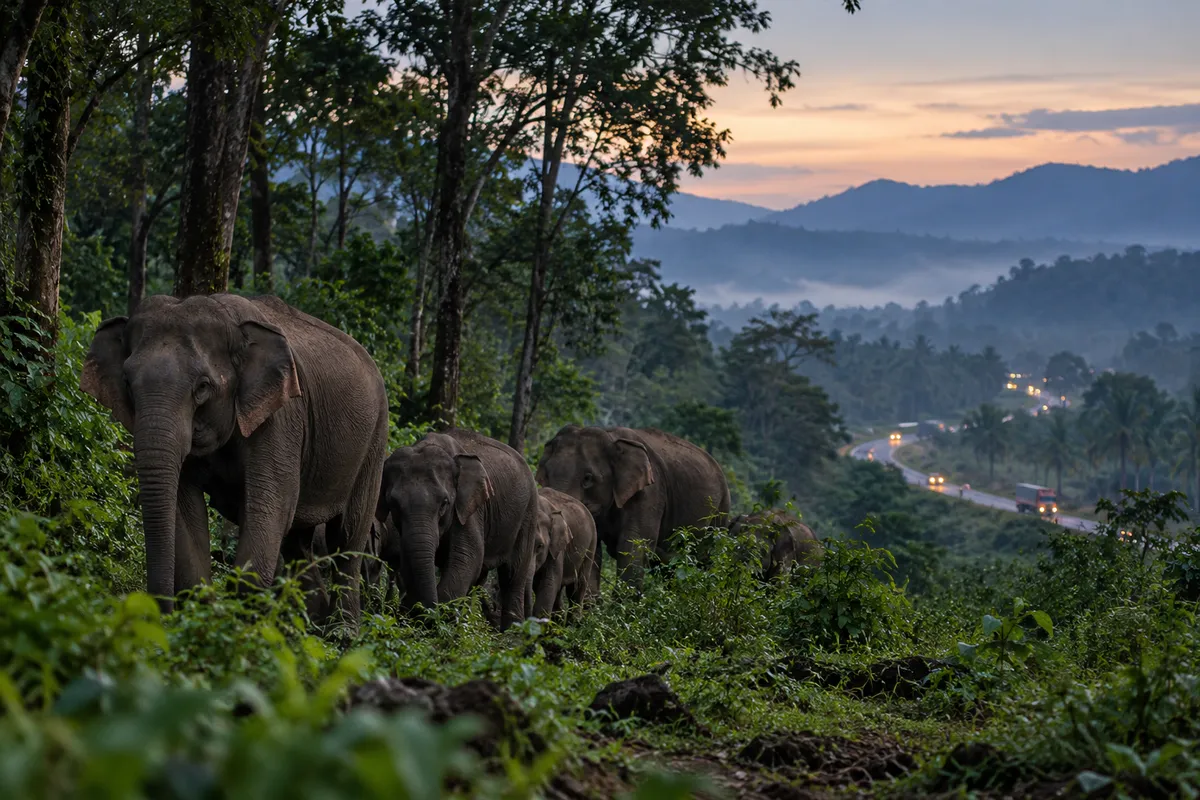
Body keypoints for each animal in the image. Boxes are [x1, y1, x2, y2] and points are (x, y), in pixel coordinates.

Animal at [80, 293, 389, 625]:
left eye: (203, 387)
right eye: (126, 382)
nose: (158, 614)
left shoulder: (281, 417)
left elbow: (271, 505)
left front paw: (239, 623)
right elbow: (185, 508)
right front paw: (206, 618)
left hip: (375, 440)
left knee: (347, 537)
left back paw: (341, 631)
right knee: (298, 542)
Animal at [376, 428, 538, 630]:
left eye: (445, 502)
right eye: (393, 503)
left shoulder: (469, 508)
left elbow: (467, 556)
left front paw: (438, 617)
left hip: (528, 512)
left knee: (513, 574)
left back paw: (511, 633)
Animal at [535, 425, 731, 589]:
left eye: (588, 478)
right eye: (546, 473)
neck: (610, 436)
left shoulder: (650, 492)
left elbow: (633, 547)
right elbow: (595, 551)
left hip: (720, 512)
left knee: (705, 560)